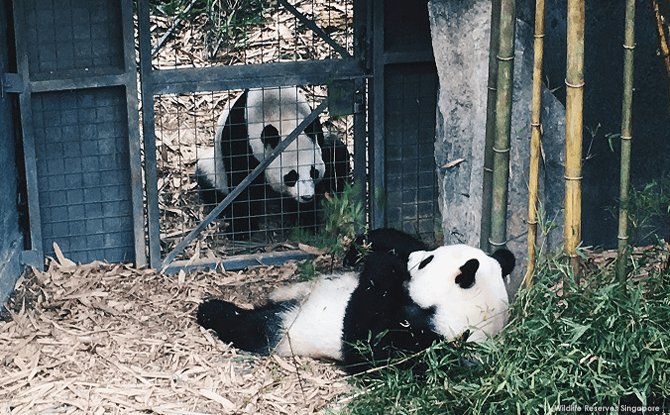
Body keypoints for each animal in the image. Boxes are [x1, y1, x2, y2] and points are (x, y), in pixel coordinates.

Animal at [194, 86, 352, 239]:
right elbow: (242, 185)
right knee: (210, 182)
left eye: (313, 172)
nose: (306, 197)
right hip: (215, 168)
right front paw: (241, 229)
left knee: (337, 152)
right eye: (291, 176)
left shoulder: (313, 127)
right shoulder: (240, 138)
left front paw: (306, 220)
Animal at [197, 231, 516, 376]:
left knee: (253, 327)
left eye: (427, 263)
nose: (414, 260)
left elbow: (365, 346)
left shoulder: (421, 345)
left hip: (288, 328)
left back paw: (211, 310)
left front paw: (384, 265)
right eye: (431, 256)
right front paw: (370, 245)